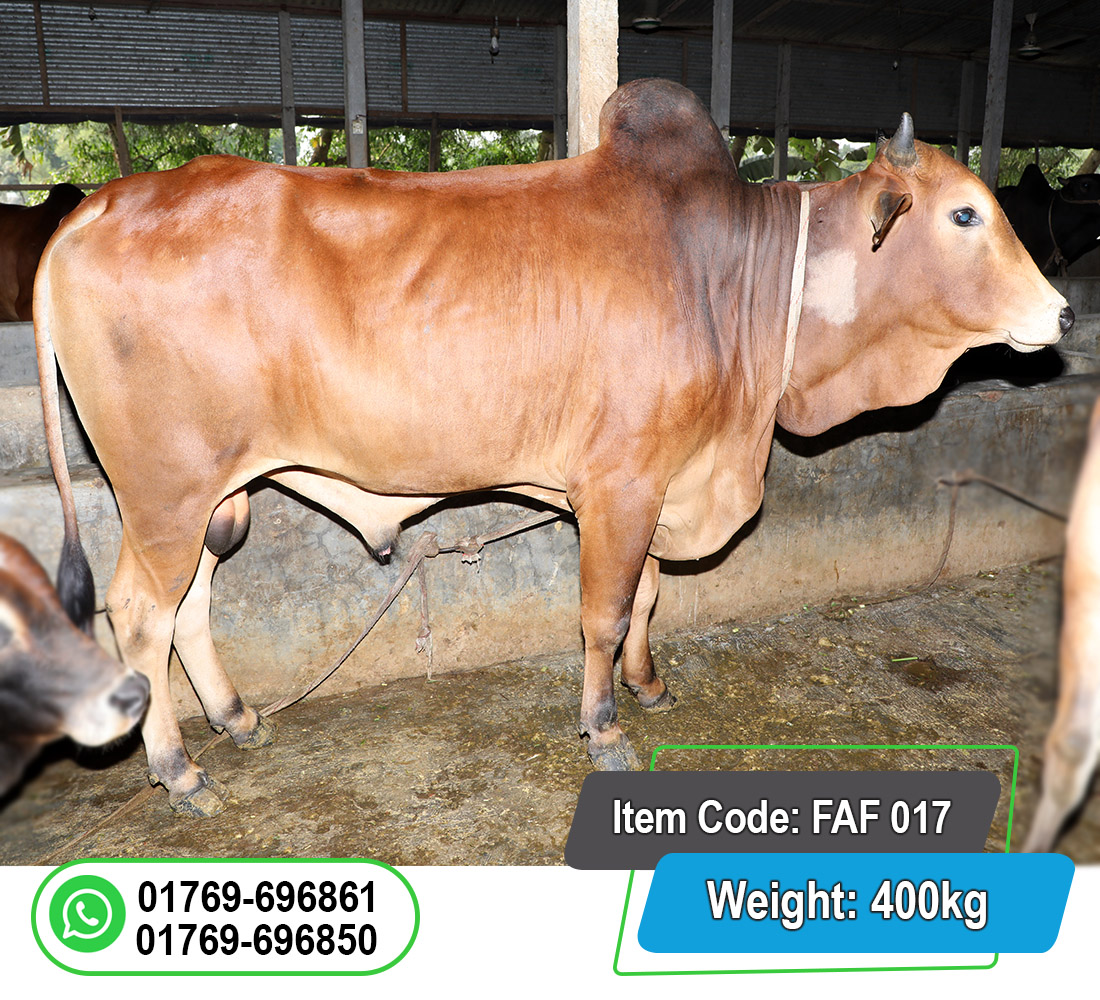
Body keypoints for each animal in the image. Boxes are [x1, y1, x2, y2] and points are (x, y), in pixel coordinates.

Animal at [33, 79, 1073, 817]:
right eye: (965, 214)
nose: (1062, 313)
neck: (735, 281)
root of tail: (92, 211)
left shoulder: (661, 482)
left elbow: (649, 596)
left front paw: (650, 687)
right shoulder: (620, 483)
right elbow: (605, 612)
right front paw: (605, 728)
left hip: (209, 497)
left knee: (190, 608)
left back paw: (238, 719)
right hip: (166, 492)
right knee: (140, 613)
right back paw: (179, 771)